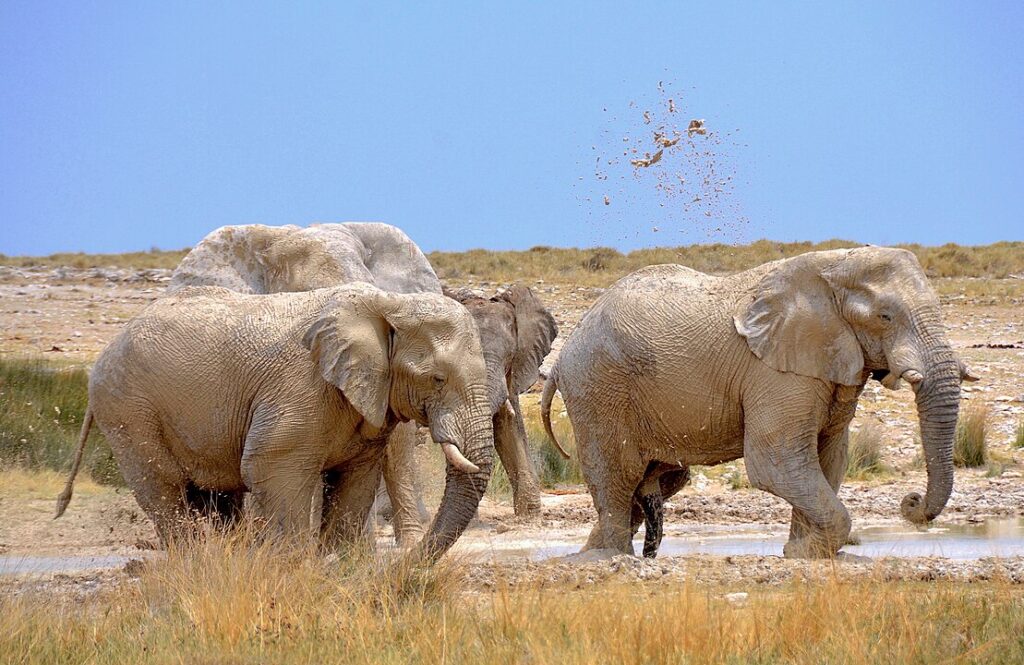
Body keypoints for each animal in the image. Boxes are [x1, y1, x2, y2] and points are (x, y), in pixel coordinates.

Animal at [56, 280, 495, 561]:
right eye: (437, 379)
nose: (403, 564)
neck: (388, 302)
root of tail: (107, 348)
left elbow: (356, 480)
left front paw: (340, 566)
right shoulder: (299, 387)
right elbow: (272, 466)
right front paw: (293, 569)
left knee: (214, 496)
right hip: (128, 412)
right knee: (163, 488)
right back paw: (196, 565)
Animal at [544, 245, 974, 557]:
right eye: (885, 316)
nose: (911, 501)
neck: (834, 265)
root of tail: (565, 352)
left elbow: (828, 459)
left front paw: (802, 553)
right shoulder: (776, 372)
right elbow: (776, 463)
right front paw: (807, 551)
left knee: (658, 481)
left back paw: (590, 555)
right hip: (598, 387)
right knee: (617, 476)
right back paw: (610, 560)